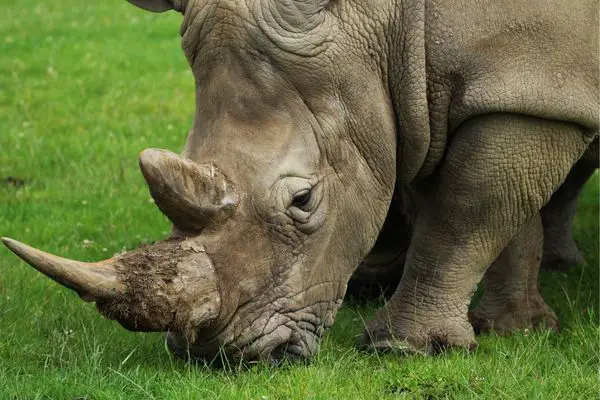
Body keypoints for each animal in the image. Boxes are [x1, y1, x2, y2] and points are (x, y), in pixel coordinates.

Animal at [2, 0, 596, 360]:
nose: (220, 356)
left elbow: (466, 213)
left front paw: (405, 348)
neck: (390, 19)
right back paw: (564, 267)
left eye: (304, 200)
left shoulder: (525, 82)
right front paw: (518, 330)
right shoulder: (486, 89)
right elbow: (503, 209)